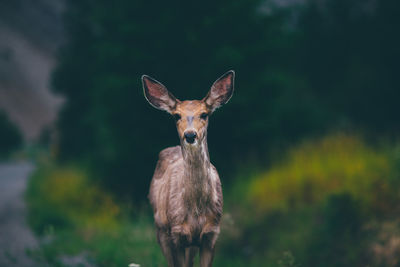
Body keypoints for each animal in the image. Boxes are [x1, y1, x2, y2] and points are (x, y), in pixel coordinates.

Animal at [142, 70, 234, 266]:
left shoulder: (211, 233)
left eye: (204, 114)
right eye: (176, 115)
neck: (196, 211)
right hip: (161, 229)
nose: (190, 135)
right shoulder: (176, 233)